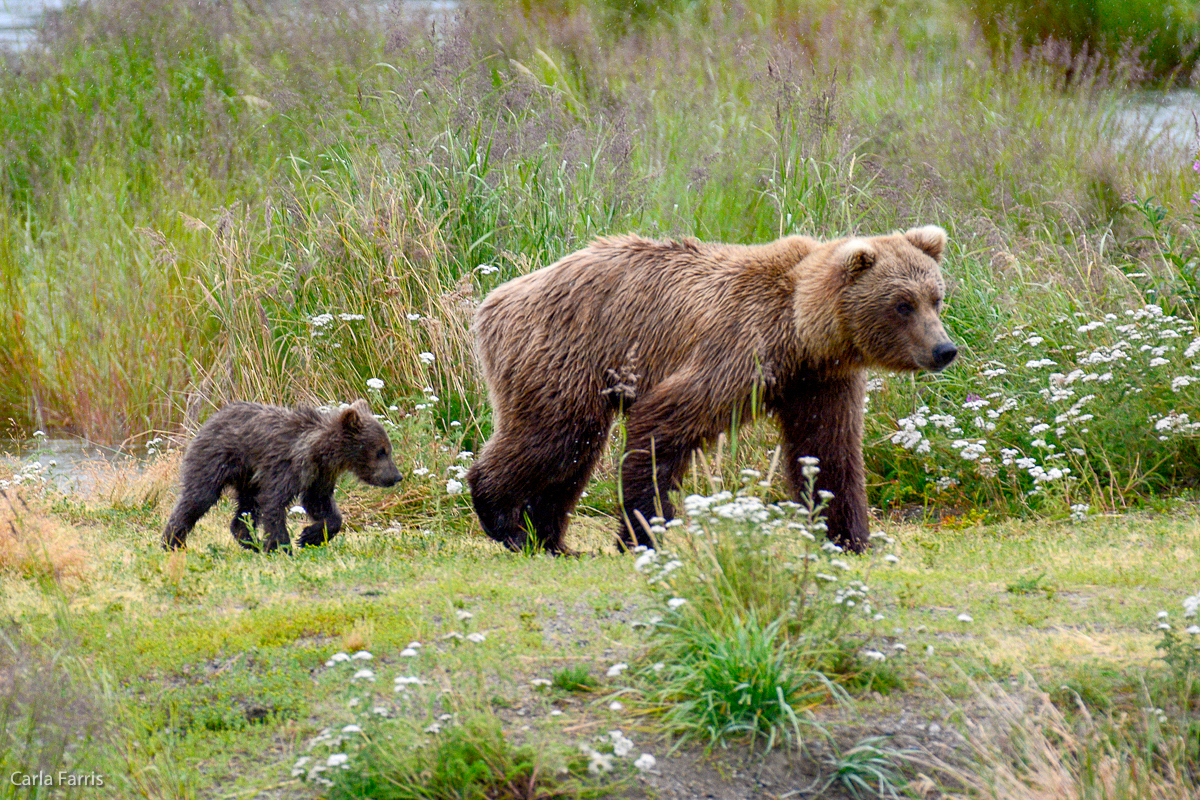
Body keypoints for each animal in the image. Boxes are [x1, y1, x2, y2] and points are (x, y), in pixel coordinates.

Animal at [465, 227, 955, 554]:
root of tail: (496, 297)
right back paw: (503, 520)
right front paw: (642, 535)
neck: (802, 333)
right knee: (553, 436)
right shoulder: (740, 349)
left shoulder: (819, 381)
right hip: (565, 351)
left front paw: (849, 536)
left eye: (936, 298)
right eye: (902, 304)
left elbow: (828, 451)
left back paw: (549, 540)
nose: (944, 349)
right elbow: (665, 423)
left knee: (571, 453)